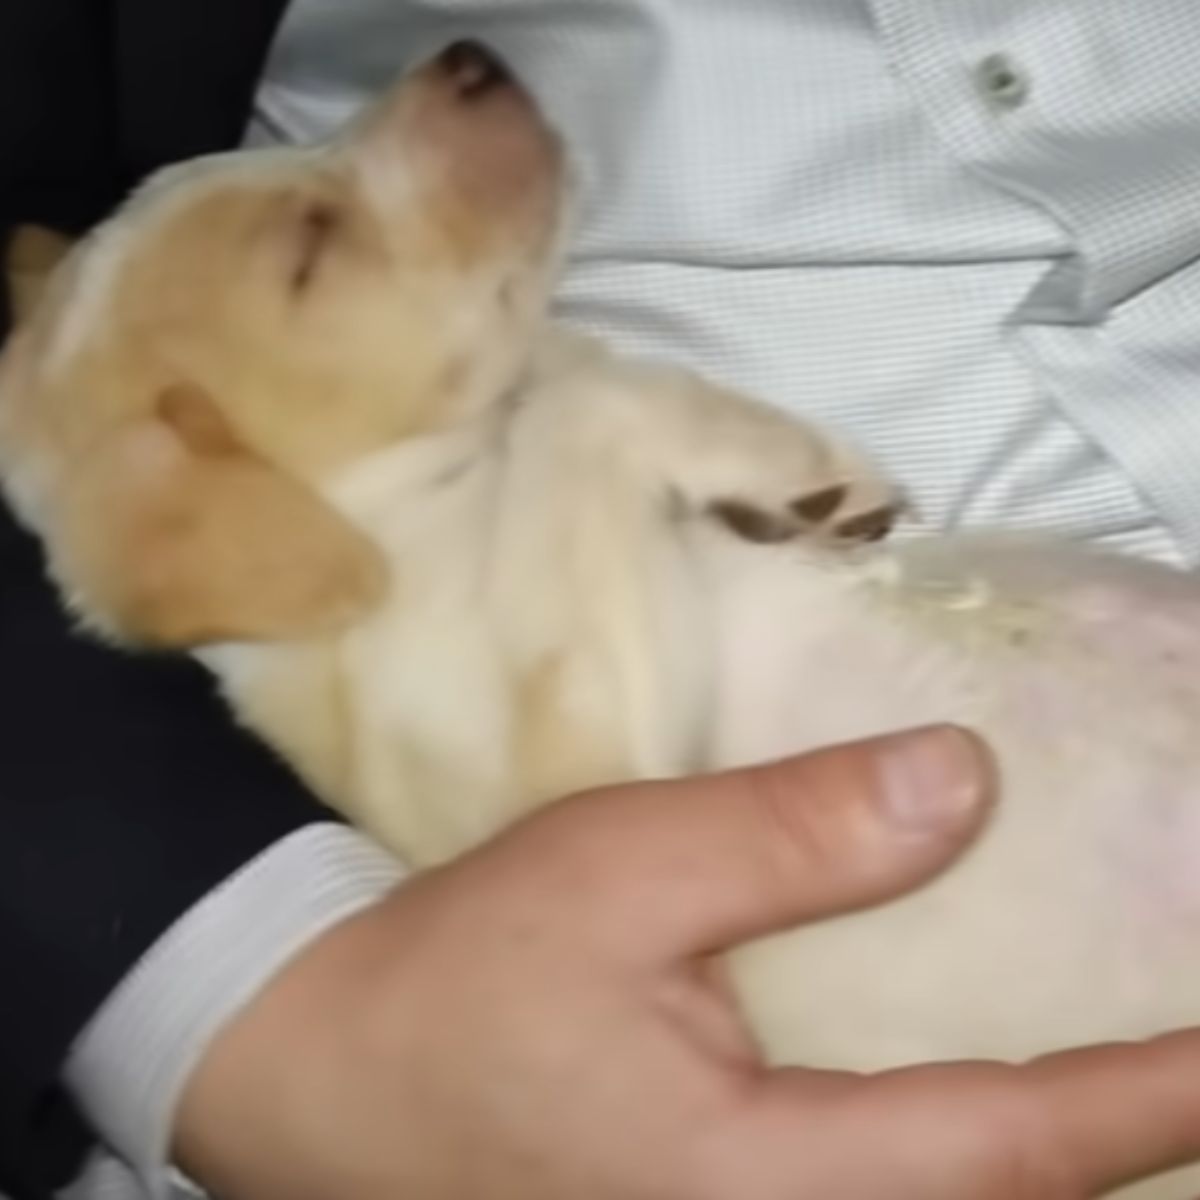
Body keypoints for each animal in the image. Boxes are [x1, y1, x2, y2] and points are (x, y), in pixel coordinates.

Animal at [2, 37, 1200, 1190]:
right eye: (308, 249)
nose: (469, 52)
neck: (411, 519)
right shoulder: (595, 776)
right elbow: (578, 404)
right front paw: (773, 465)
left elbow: (580, 372)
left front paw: (783, 471)